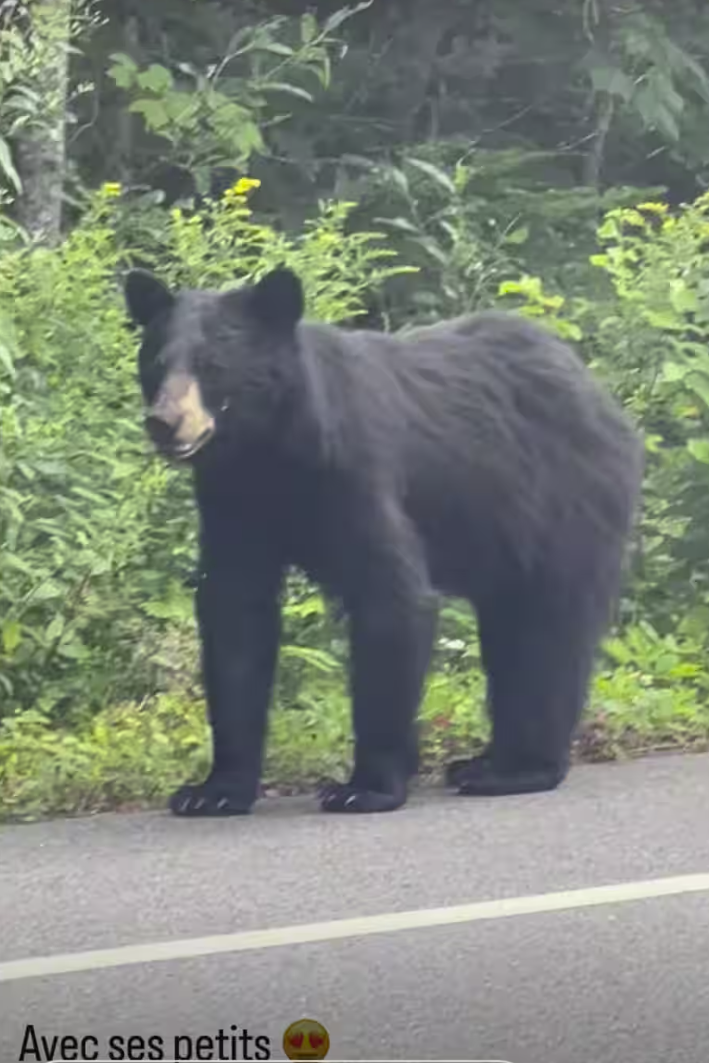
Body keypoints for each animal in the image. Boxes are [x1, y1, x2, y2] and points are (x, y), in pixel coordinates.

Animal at [124, 263, 646, 812]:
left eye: (213, 364)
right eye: (156, 361)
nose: (164, 422)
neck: (270, 454)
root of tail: (601, 396)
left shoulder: (357, 475)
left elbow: (391, 597)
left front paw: (365, 787)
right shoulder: (232, 504)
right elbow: (235, 618)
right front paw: (214, 791)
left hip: (562, 507)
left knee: (547, 631)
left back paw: (516, 769)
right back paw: (482, 761)